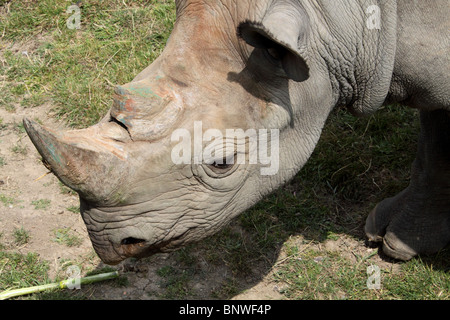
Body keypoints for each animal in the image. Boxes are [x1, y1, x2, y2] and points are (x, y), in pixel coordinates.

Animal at [25, 0, 450, 264]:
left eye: (222, 163)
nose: (109, 244)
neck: (337, 23)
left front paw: (398, 246)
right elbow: (435, 150)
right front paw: (396, 241)